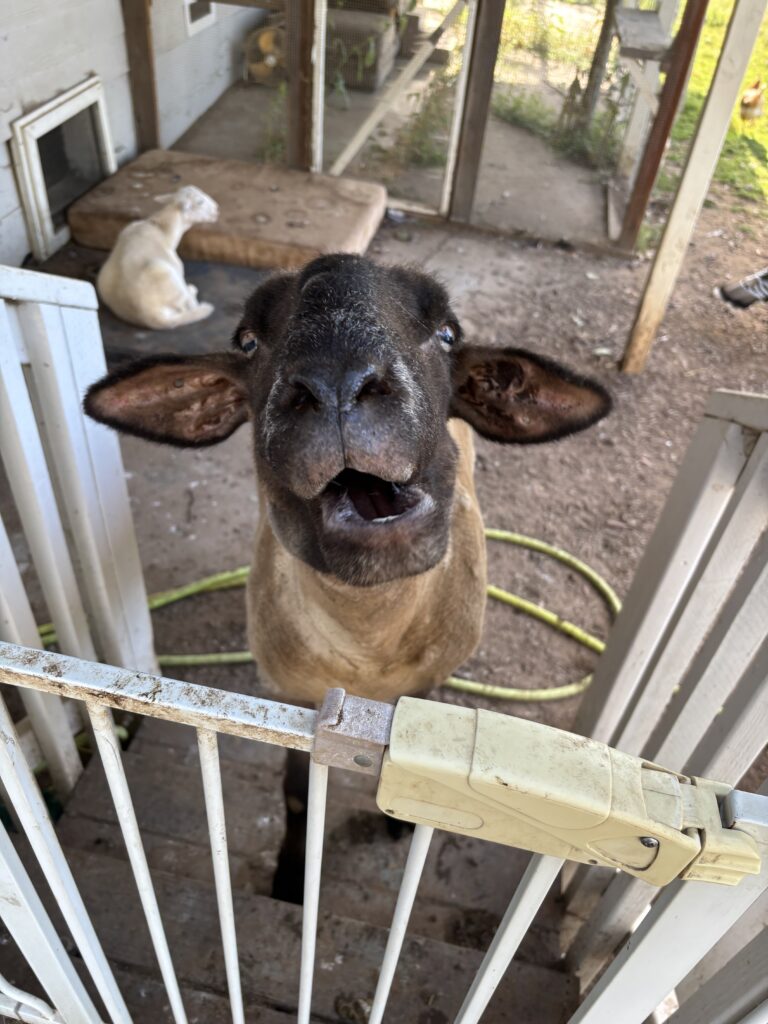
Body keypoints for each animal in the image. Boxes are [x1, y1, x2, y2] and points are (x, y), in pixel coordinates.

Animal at [96, 186, 219, 330]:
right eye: (200, 202)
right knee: (187, 305)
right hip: (167, 275)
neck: (163, 230)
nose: (217, 209)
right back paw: (192, 292)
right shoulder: (178, 267)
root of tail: (151, 317)